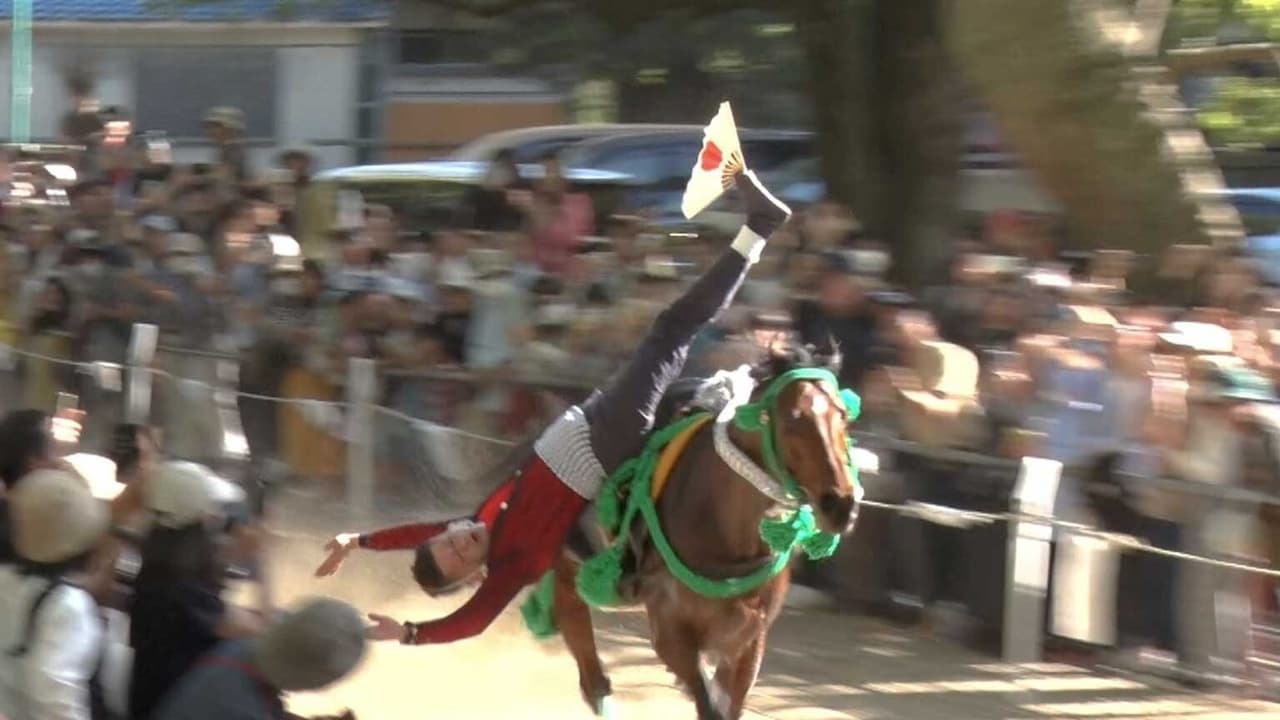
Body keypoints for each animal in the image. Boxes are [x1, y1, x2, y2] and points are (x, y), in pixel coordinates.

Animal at [542, 345, 855, 712]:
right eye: (792, 418)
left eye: (843, 414)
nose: (840, 504)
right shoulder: (671, 634)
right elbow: (707, 701)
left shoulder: (749, 639)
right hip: (568, 575)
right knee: (590, 670)